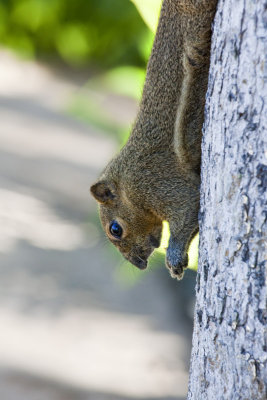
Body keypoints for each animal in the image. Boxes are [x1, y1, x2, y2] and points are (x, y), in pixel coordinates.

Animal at [90, 0, 218, 280]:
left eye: (115, 229)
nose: (138, 264)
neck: (125, 182)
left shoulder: (155, 182)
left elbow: (187, 207)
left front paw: (175, 257)